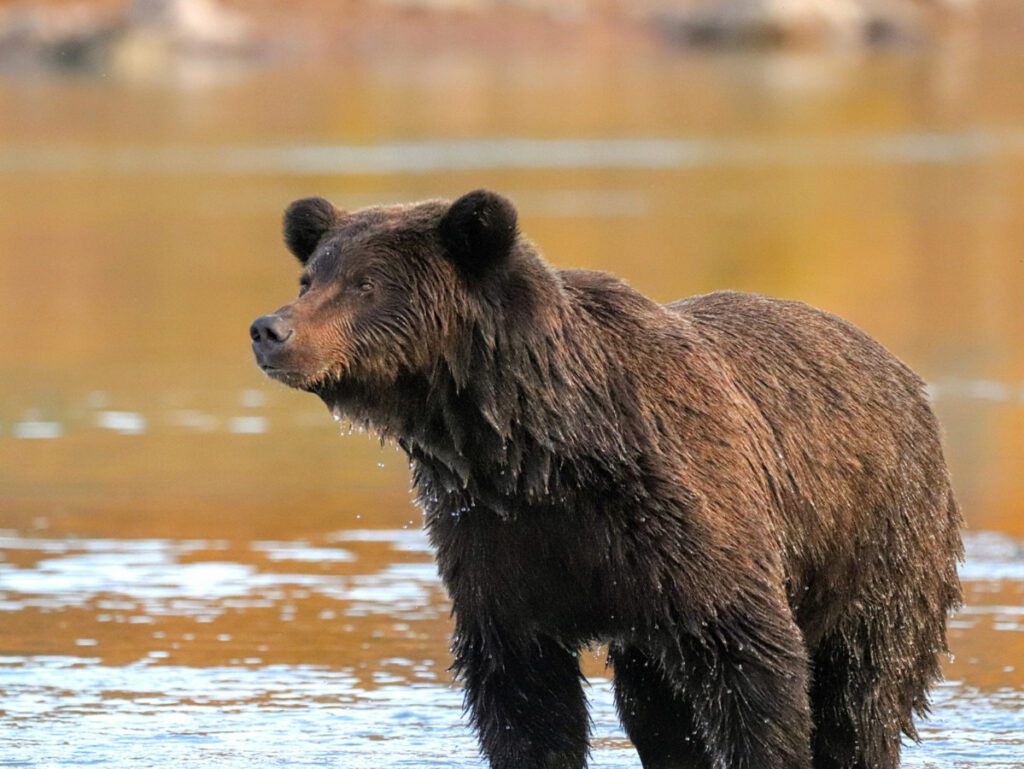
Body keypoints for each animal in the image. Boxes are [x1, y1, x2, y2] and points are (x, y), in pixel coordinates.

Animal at [251, 188, 962, 769]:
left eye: (366, 283)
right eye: (310, 276)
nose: (270, 329)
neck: (537, 452)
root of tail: (900, 371)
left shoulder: (686, 519)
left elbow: (753, 663)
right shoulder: (496, 542)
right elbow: (524, 696)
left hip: (876, 535)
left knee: (864, 687)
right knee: (656, 706)